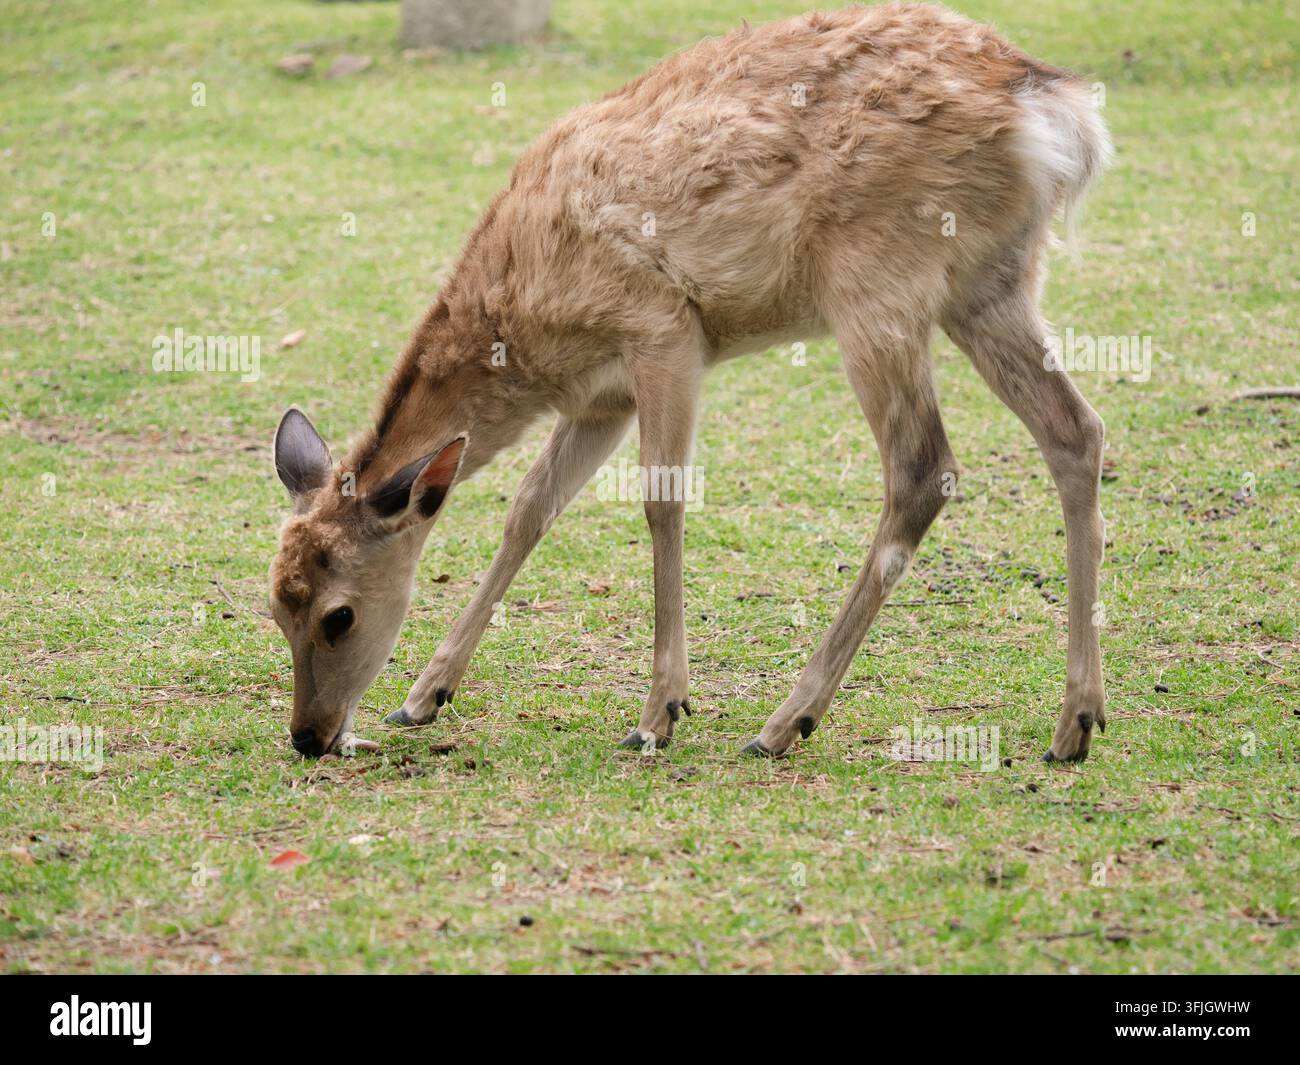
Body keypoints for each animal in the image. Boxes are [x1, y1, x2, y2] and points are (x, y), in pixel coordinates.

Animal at [268, 3, 1111, 764]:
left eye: (338, 615)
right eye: (274, 605)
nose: (309, 736)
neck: (525, 325)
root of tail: (1051, 107)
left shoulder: (664, 330)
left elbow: (661, 499)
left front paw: (659, 713)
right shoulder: (600, 397)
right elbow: (529, 509)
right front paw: (424, 695)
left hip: (878, 281)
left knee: (923, 466)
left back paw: (785, 721)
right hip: (992, 282)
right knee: (1076, 429)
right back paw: (1075, 724)